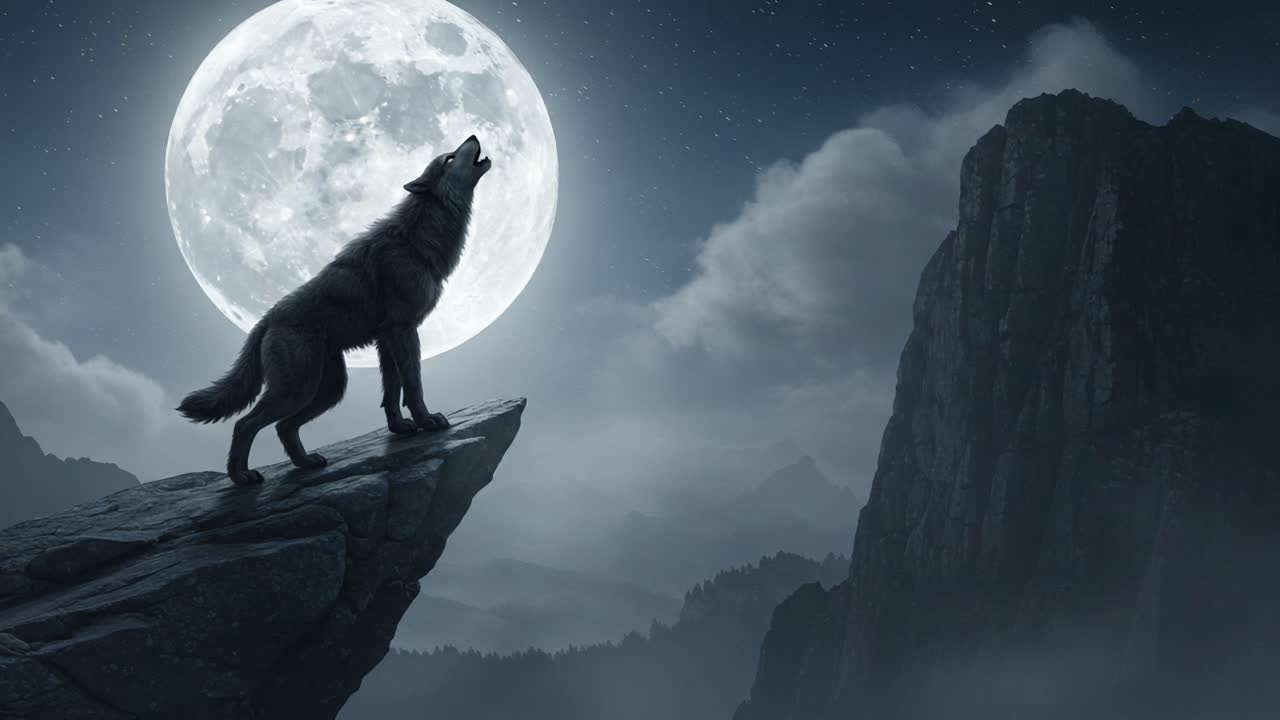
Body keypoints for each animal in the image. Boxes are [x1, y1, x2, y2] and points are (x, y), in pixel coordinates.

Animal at [177, 135, 491, 486]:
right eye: (449, 158)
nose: (473, 136)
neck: (416, 240)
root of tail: (265, 320)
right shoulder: (403, 329)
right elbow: (413, 385)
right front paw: (427, 420)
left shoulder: (387, 338)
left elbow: (391, 392)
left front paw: (399, 428)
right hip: (297, 389)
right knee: (246, 424)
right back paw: (241, 477)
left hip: (328, 389)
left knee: (283, 427)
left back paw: (305, 462)